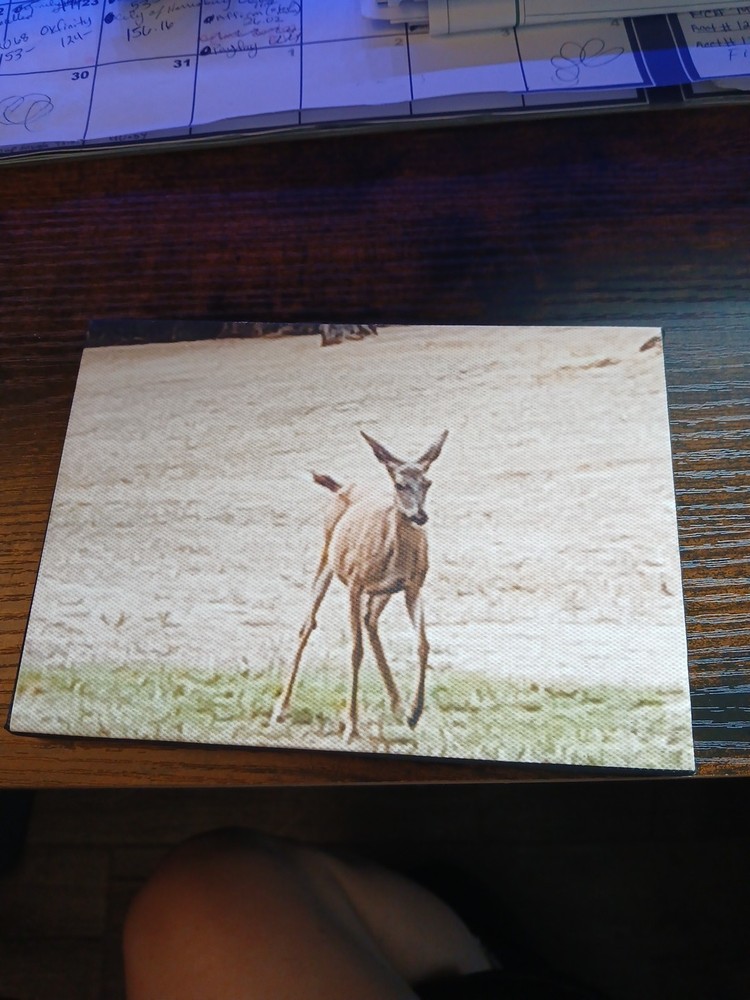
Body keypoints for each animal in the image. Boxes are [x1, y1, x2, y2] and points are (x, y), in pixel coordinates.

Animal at [273, 429, 449, 743]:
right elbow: (355, 651)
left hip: (382, 591)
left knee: (370, 621)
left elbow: (423, 644)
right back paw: (281, 709)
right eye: (399, 484)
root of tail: (343, 487)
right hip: (328, 559)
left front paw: (415, 713)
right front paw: (351, 726)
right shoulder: (355, 582)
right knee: (308, 624)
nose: (419, 516)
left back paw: (398, 706)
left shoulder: (413, 585)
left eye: (428, 482)